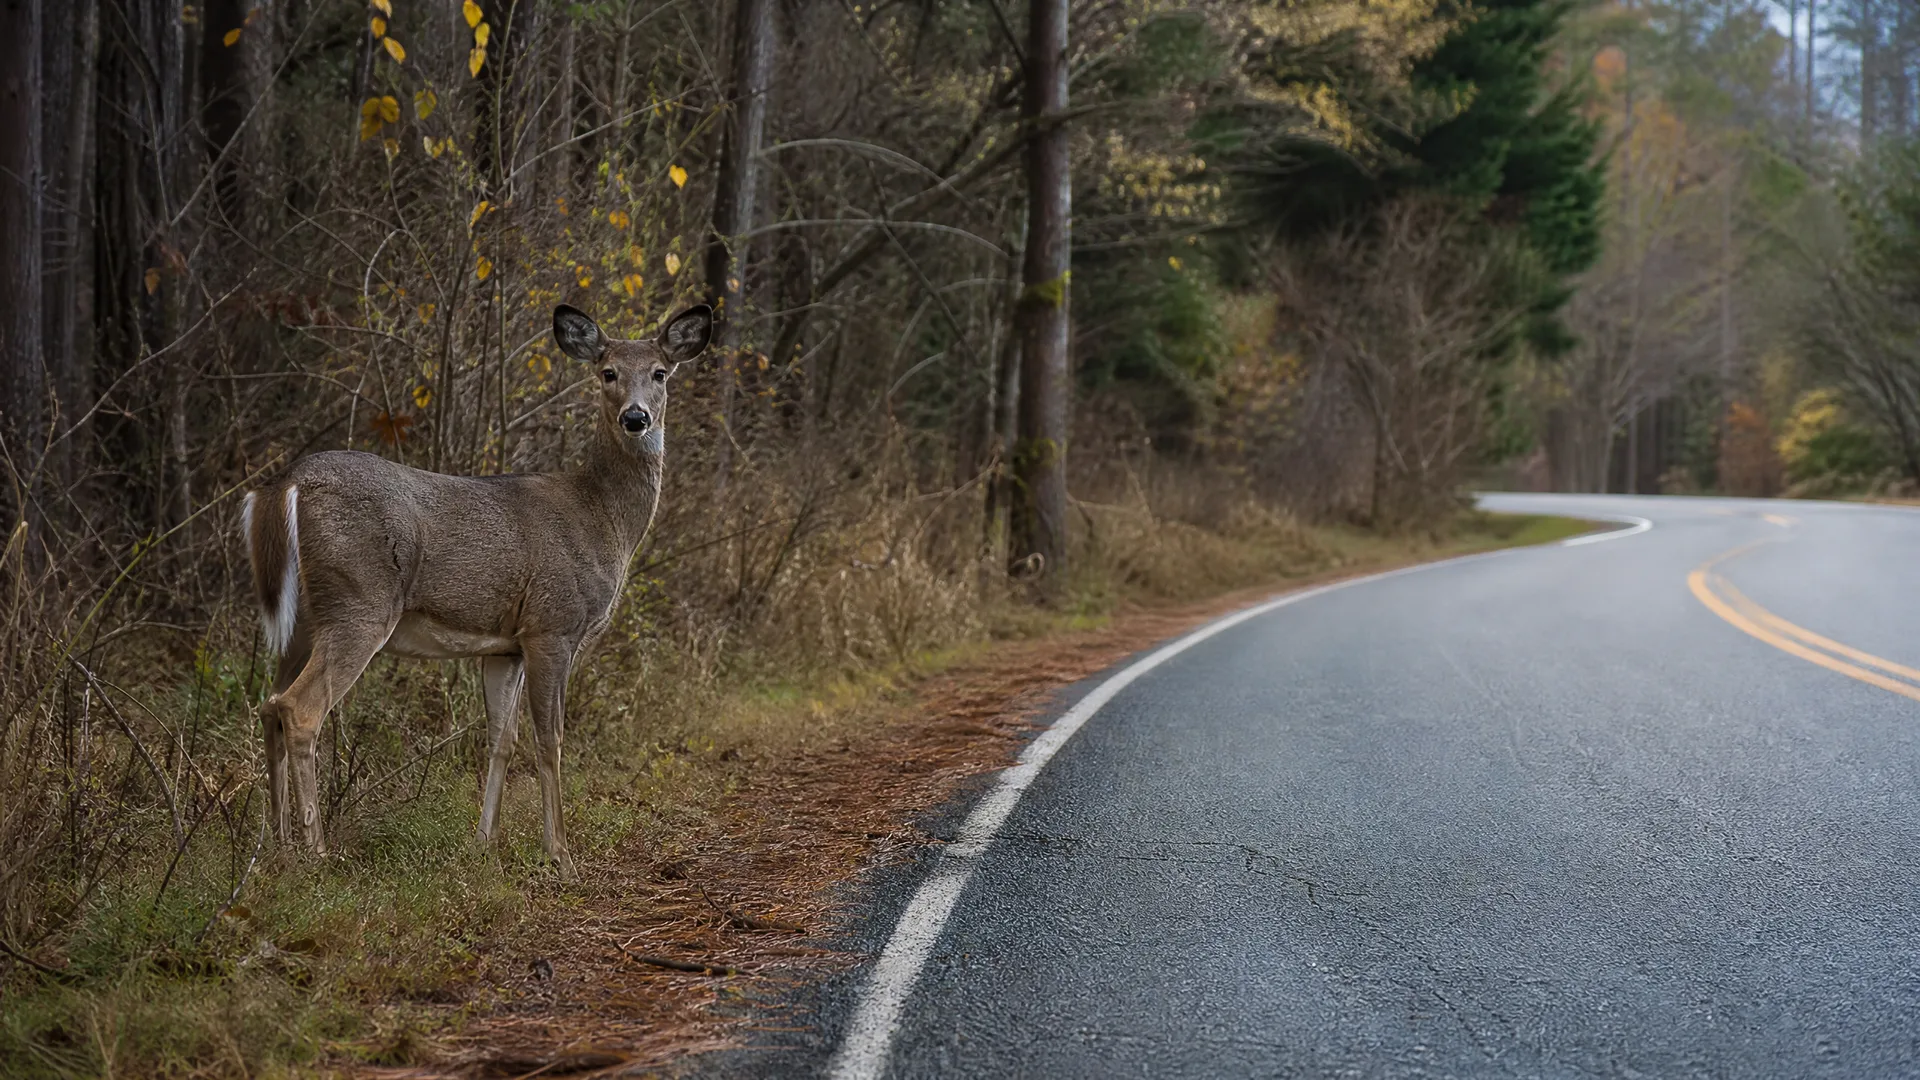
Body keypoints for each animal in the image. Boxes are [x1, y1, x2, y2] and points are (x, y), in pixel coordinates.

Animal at [240, 303, 713, 878]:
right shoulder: (553, 625)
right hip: (360, 602)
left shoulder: (505, 646)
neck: (602, 517)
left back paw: (278, 846)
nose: (636, 417)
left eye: (660, 373)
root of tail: (286, 483)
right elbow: (550, 740)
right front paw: (561, 856)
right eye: (608, 372)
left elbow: (501, 740)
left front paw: (483, 842)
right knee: (300, 709)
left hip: (305, 620)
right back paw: (317, 852)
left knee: (269, 704)